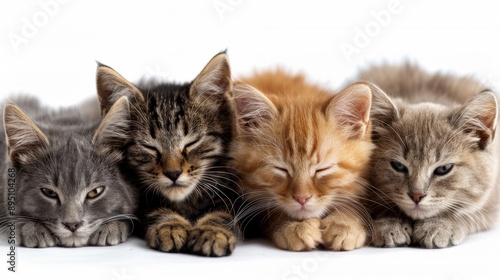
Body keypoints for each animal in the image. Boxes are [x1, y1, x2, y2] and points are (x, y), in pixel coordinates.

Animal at [232, 69, 374, 250]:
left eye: (322, 169)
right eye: (281, 169)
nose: (302, 198)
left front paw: (345, 224)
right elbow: (270, 210)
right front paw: (295, 226)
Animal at [354, 63, 498, 247]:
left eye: (444, 169)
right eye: (398, 166)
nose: (416, 195)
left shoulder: (492, 200)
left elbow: (471, 212)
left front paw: (442, 224)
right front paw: (390, 222)